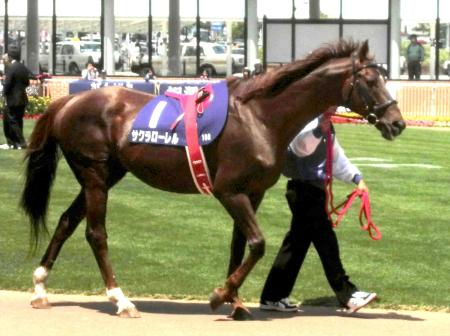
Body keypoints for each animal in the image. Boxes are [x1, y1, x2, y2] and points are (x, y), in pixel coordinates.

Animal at [20, 40, 404, 320]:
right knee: (95, 233)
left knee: (67, 221)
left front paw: (235, 301)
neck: (259, 117)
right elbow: (258, 244)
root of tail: (68, 102)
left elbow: (240, 245)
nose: (397, 123)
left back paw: (40, 288)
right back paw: (121, 299)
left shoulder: (251, 193)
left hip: (106, 174)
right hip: (95, 174)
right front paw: (221, 295)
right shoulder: (228, 191)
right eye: (372, 82)